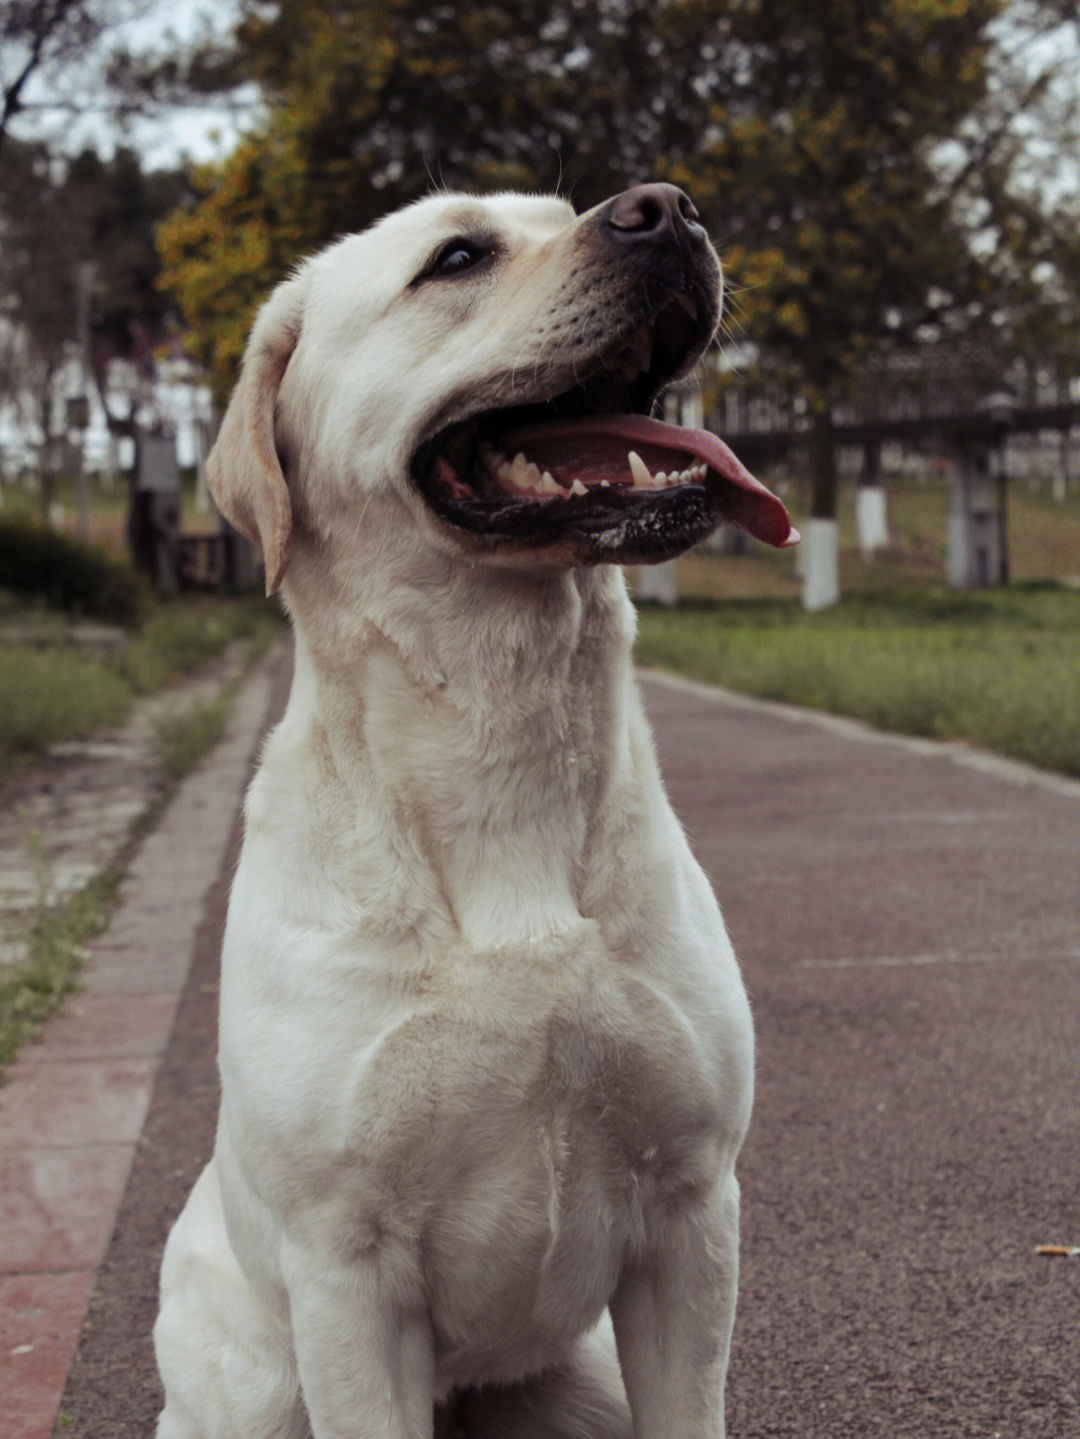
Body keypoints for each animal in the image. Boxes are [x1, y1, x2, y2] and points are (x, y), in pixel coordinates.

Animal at [150, 185, 793, 1433]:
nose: (668, 207)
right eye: (457, 257)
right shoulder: (345, 1266)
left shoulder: (692, 1207)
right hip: (250, 1383)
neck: (502, 728)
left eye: (565, 209)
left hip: (586, 1375)